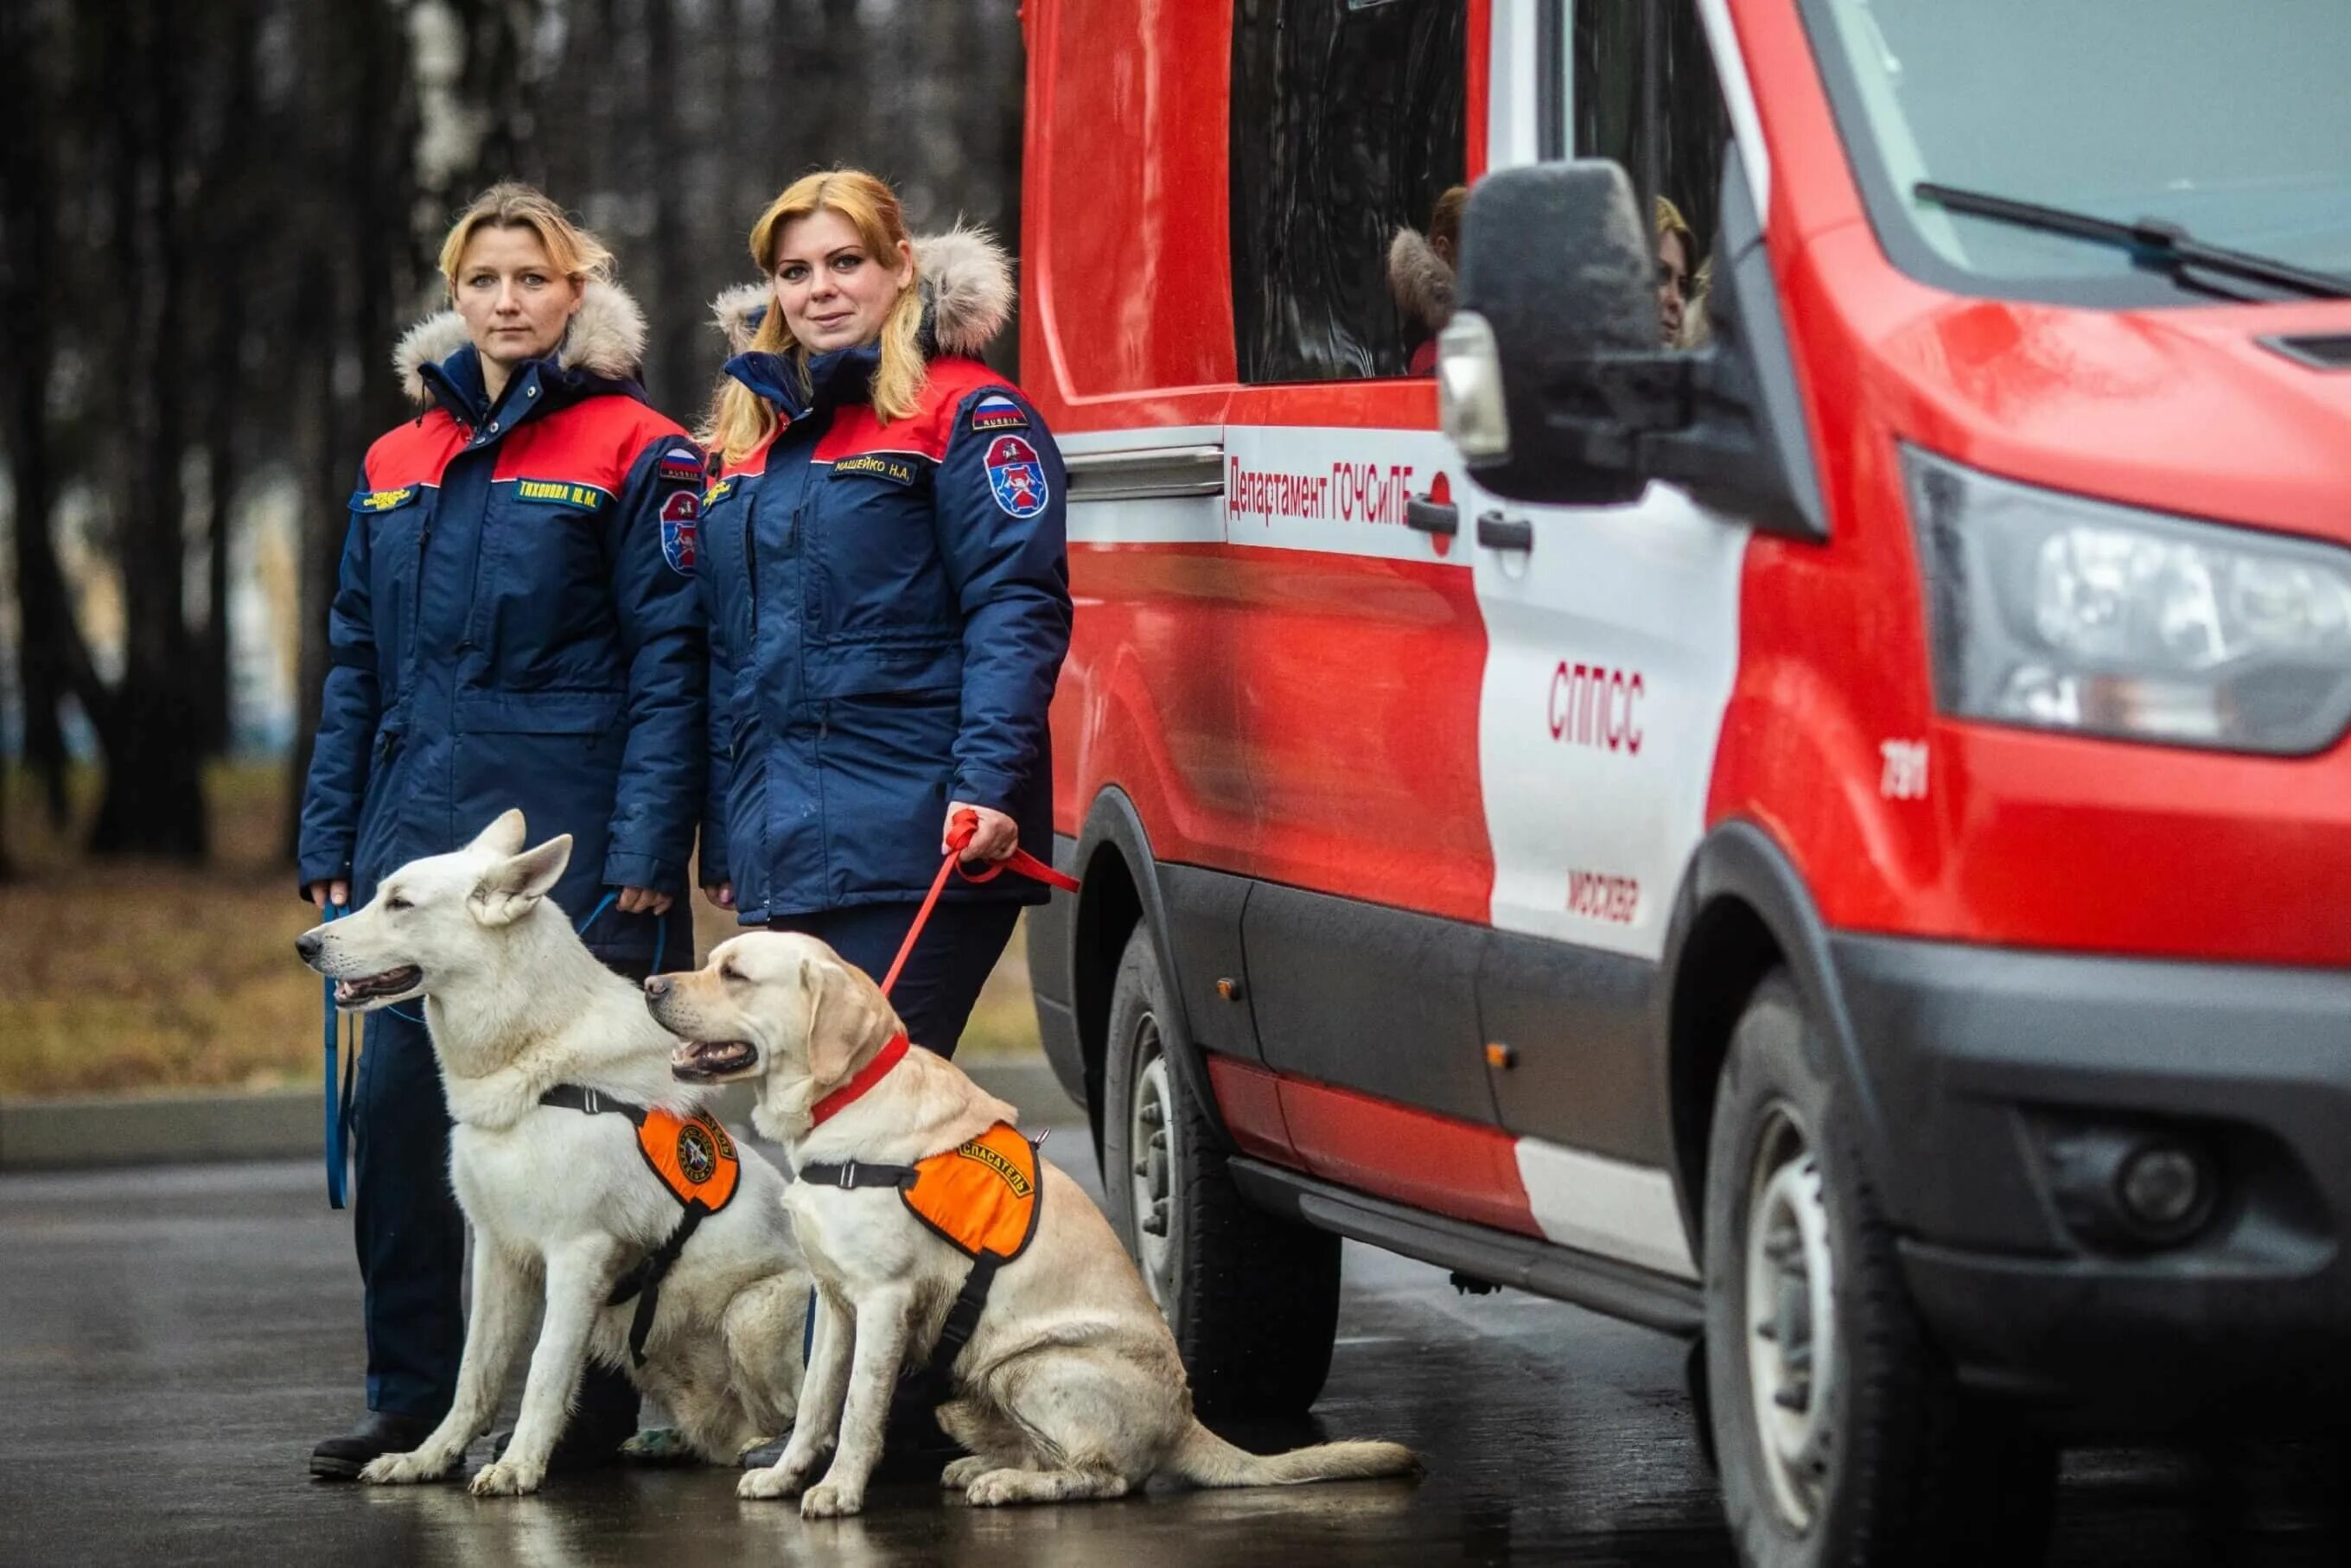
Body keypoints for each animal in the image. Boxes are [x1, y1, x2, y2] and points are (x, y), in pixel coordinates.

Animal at [644, 930, 1411, 1523]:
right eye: (713, 960)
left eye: (735, 975)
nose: (650, 983)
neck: (844, 1103)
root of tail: (1187, 1420)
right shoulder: (835, 1303)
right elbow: (814, 1403)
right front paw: (785, 1475)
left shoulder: (884, 1302)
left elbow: (859, 1409)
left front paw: (839, 1492)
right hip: (976, 1381)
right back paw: (985, 1466)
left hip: (1034, 1365)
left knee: (1107, 1476)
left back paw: (1011, 1484)